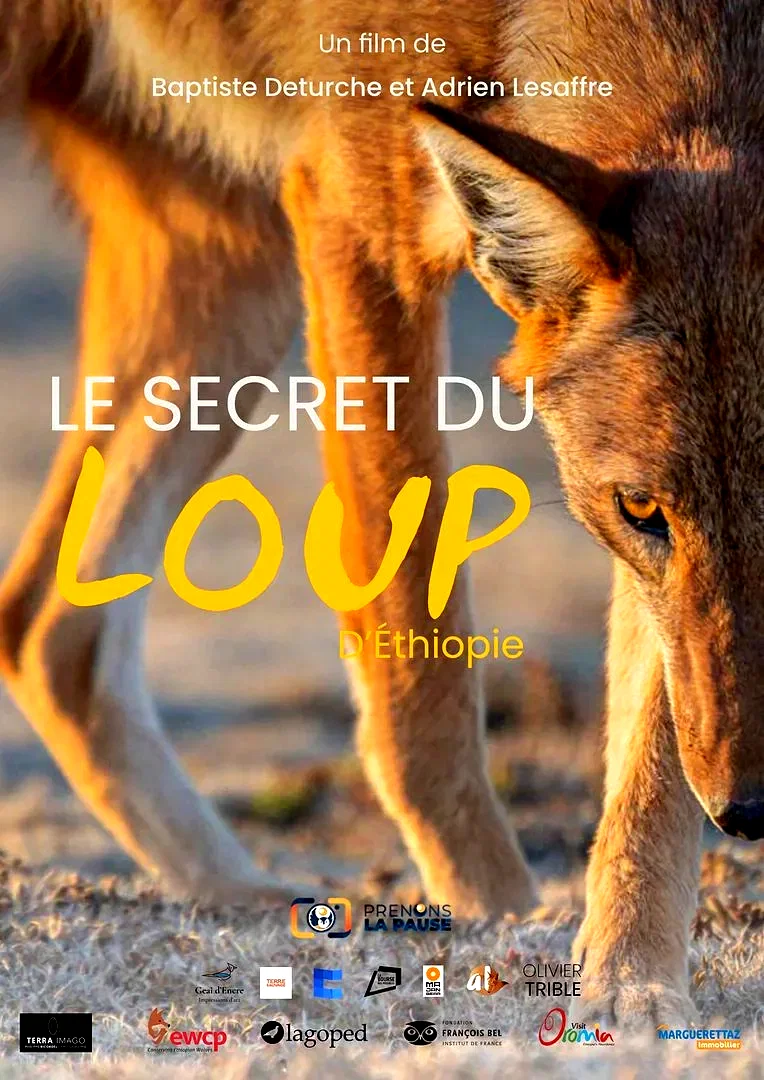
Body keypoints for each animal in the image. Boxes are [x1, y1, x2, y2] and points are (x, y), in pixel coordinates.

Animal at [1, 0, 762, 1027]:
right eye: (642, 509)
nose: (751, 810)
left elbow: (651, 748)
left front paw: (631, 978)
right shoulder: (358, 215)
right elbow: (419, 671)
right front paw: (496, 920)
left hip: (236, 286)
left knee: (47, 634)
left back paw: (242, 898)